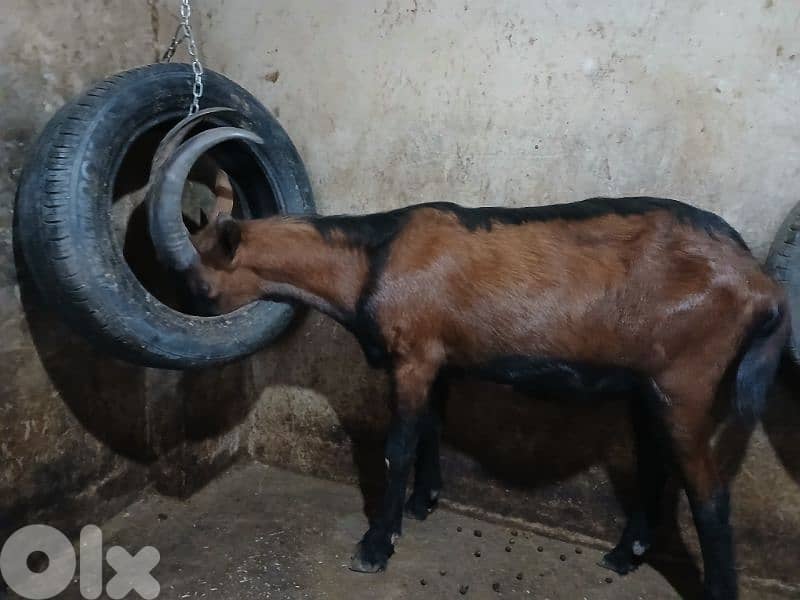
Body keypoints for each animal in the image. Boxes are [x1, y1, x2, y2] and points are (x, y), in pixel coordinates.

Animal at [146, 120, 789, 600]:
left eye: (202, 286)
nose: (181, 329)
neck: (372, 259)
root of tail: (762, 286)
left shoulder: (412, 354)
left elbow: (398, 444)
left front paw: (376, 545)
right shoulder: (440, 357)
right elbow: (432, 426)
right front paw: (424, 503)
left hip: (688, 382)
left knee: (710, 492)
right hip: (648, 384)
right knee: (655, 466)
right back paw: (623, 556)